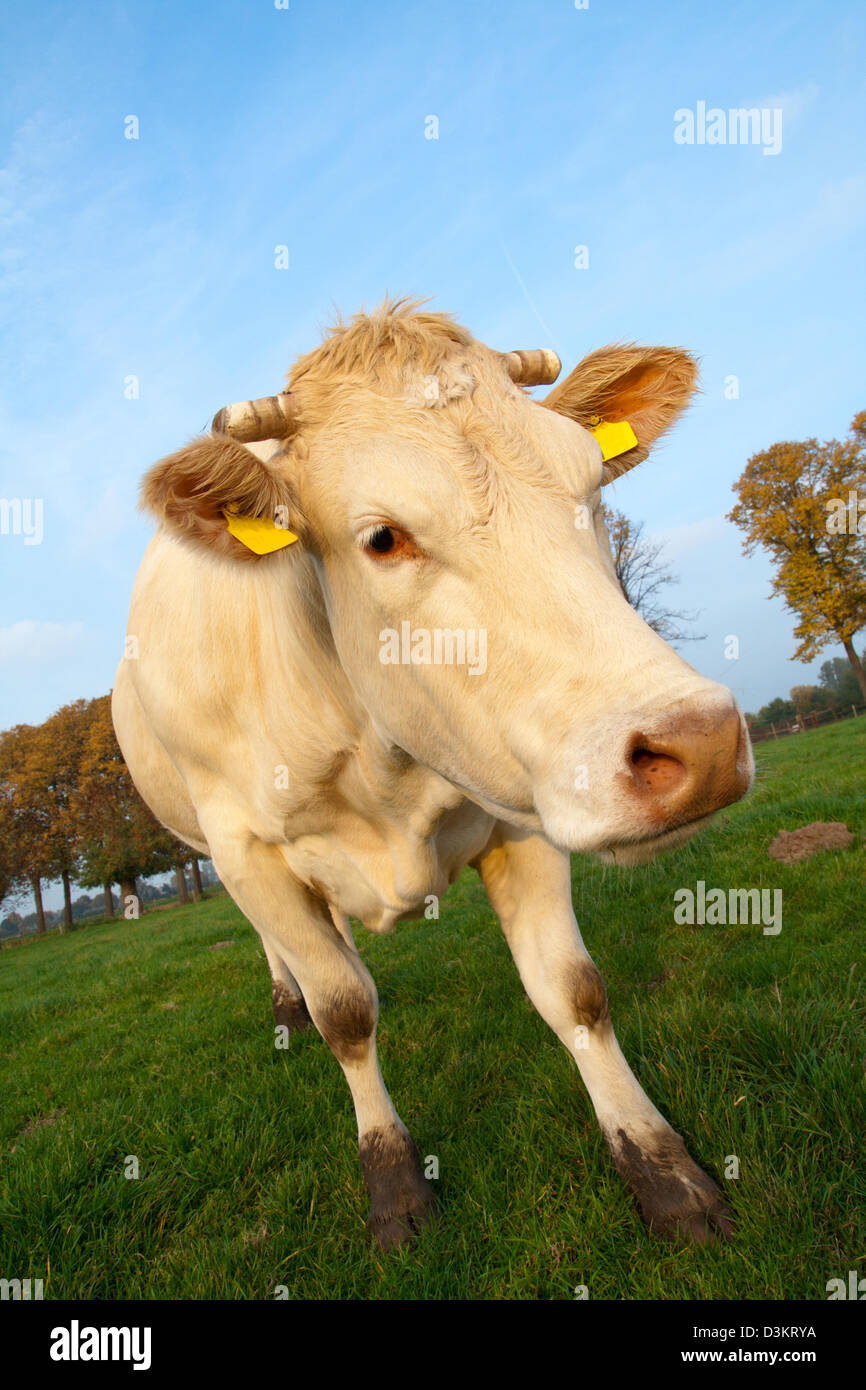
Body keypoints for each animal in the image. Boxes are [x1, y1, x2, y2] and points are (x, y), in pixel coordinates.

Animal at [113, 301, 750, 1251]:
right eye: (382, 536)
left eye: (593, 489)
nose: (699, 743)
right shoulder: (244, 846)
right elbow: (346, 1012)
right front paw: (394, 1184)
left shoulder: (523, 812)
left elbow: (575, 992)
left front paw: (662, 1170)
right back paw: (287, 1002)